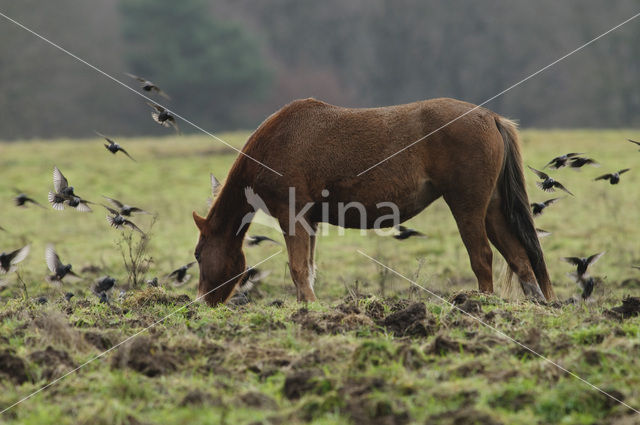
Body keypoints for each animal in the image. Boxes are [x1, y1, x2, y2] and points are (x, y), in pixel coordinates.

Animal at [194, 97, 556, 304]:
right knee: (519, 256)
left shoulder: (292, 215)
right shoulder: (309, 221)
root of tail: (491, 117)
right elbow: (307, 267)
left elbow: (298, 268)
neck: (274, 144)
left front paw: (309, 307)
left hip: (467, 207)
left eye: (198, 255)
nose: (200, 302)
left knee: (482, 256)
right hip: (492, 208)